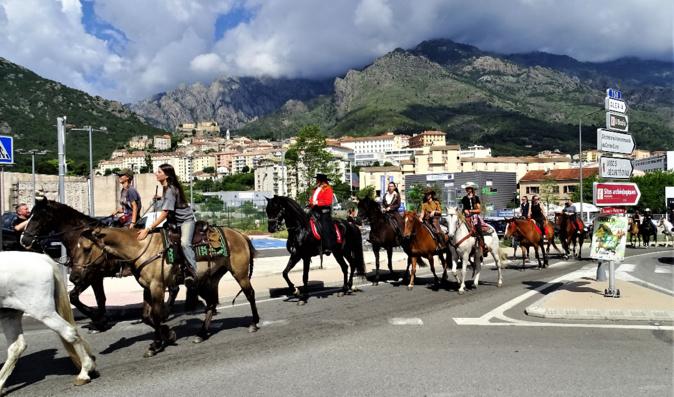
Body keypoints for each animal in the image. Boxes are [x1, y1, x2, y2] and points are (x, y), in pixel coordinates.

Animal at [0, 251, 97, 390]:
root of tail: (41, 257)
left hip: (43, 312)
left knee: (69, 332)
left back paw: (84, 373)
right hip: (9, 314)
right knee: (16, 347)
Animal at [19, 198, 178, 332]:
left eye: (38, 217)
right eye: (29, 215)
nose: (24, 240)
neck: (80, 236)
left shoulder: (90, 275)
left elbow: (76, 296)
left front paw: (97, 318)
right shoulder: (92, 276)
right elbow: (97, 298)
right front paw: (100, 320)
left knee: (173, 288)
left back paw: (165, 313)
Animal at [73, 224, 258, 358]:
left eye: (87, 249)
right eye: (75, 248)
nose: (74, 277)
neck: (141, 248)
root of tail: (240, 234)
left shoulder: (157, 287)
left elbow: (156, 315)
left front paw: (157, 343)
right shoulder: (147, 288)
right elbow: (146, 317)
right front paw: (166, 336)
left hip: (239, 273)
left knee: (250, 294)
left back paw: (254, 323)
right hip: (211, 278)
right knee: (211, 304)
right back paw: (202, 333)